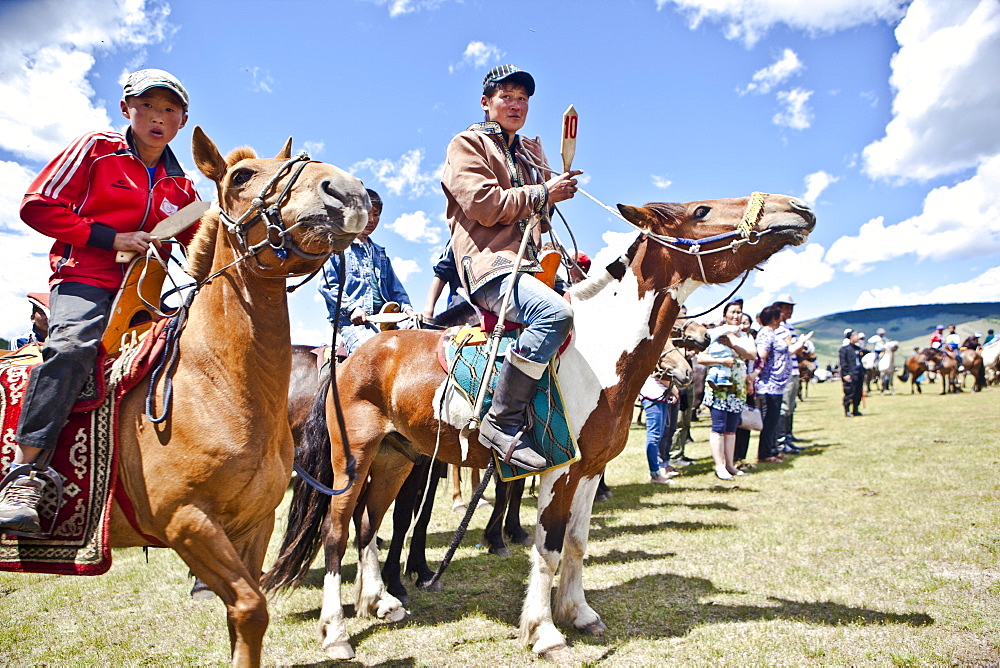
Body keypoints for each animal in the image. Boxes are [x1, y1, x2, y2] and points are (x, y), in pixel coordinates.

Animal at [107, 128, 370, 664]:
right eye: (241, 176)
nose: (347, 191)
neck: (216, 387)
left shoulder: (254, 525)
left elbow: (244, 619)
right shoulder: (187, 522)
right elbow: (251, 608)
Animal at [262, 190, 816, 660]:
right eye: (702, 211)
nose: (798, 208)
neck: (599, 351)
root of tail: (354, 355)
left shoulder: (589, 470)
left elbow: (576, 542)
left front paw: (579, 612)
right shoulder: (557, 468)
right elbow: (547, 547)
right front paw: (545, 631)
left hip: (396, 457)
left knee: (368, 526)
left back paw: (380, 601)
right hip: (351, 459)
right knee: (336, 532)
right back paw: (336, 633)